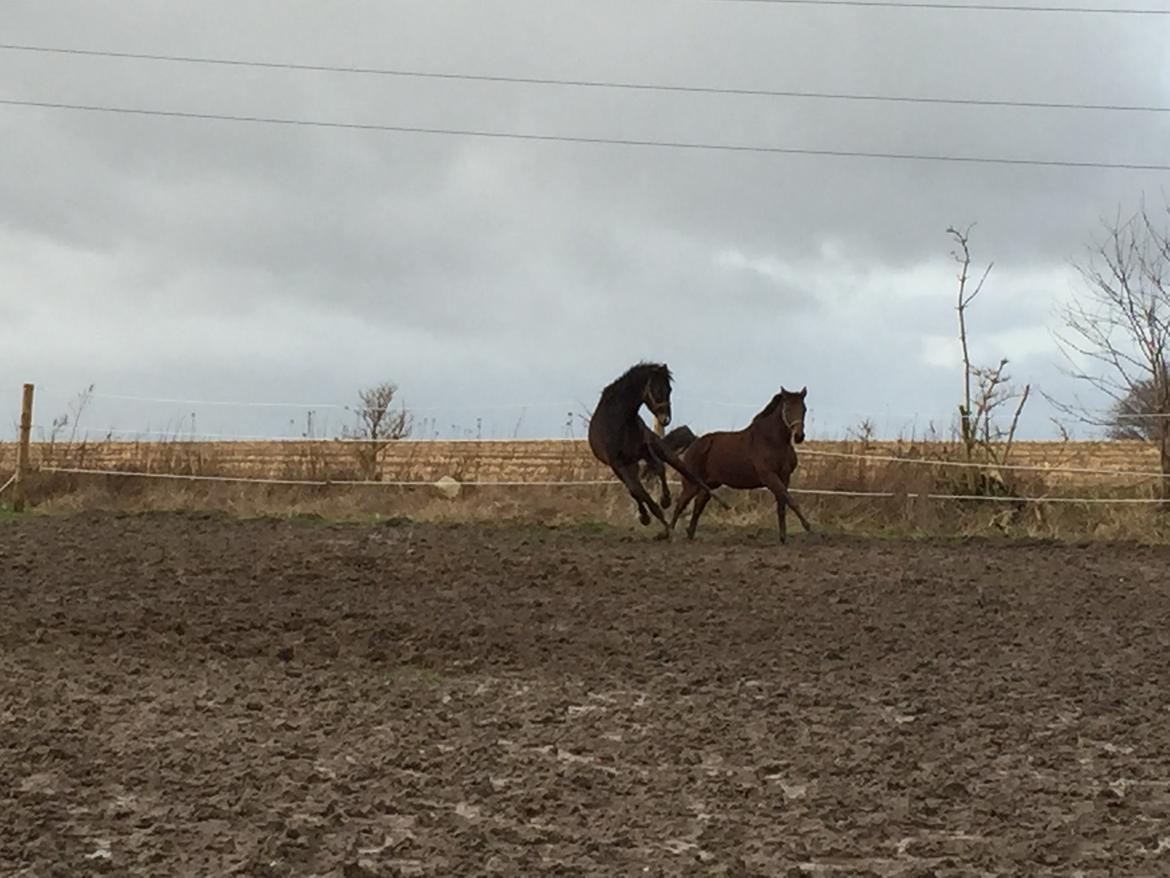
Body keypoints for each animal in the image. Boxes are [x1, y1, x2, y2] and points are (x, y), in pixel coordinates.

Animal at [589, 360, 725, 540]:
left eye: (669, 389)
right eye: (657, 390)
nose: (665, 419)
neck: (619, 421)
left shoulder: (645, 450)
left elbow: (659, 468)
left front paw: (665, 500)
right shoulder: (617, 463)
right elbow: (639, 492)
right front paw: (662, 524)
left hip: (658, 452)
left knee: (688, 474)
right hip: (625, 467)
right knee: (635, 490)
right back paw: (646, 516)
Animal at [669, 391, 814, 547]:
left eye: (804, 409)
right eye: (787, 409)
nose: (799, 436)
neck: (772, 441)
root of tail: (695, 442)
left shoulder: (785, 477)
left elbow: (782, 504)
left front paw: (783, 538)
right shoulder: (769, 477)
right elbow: (790, 500)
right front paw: (807, 526)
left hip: (709, 484)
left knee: (698, 505)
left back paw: (690, 534)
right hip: (691, 484)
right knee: (680, 504)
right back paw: (668, 533)